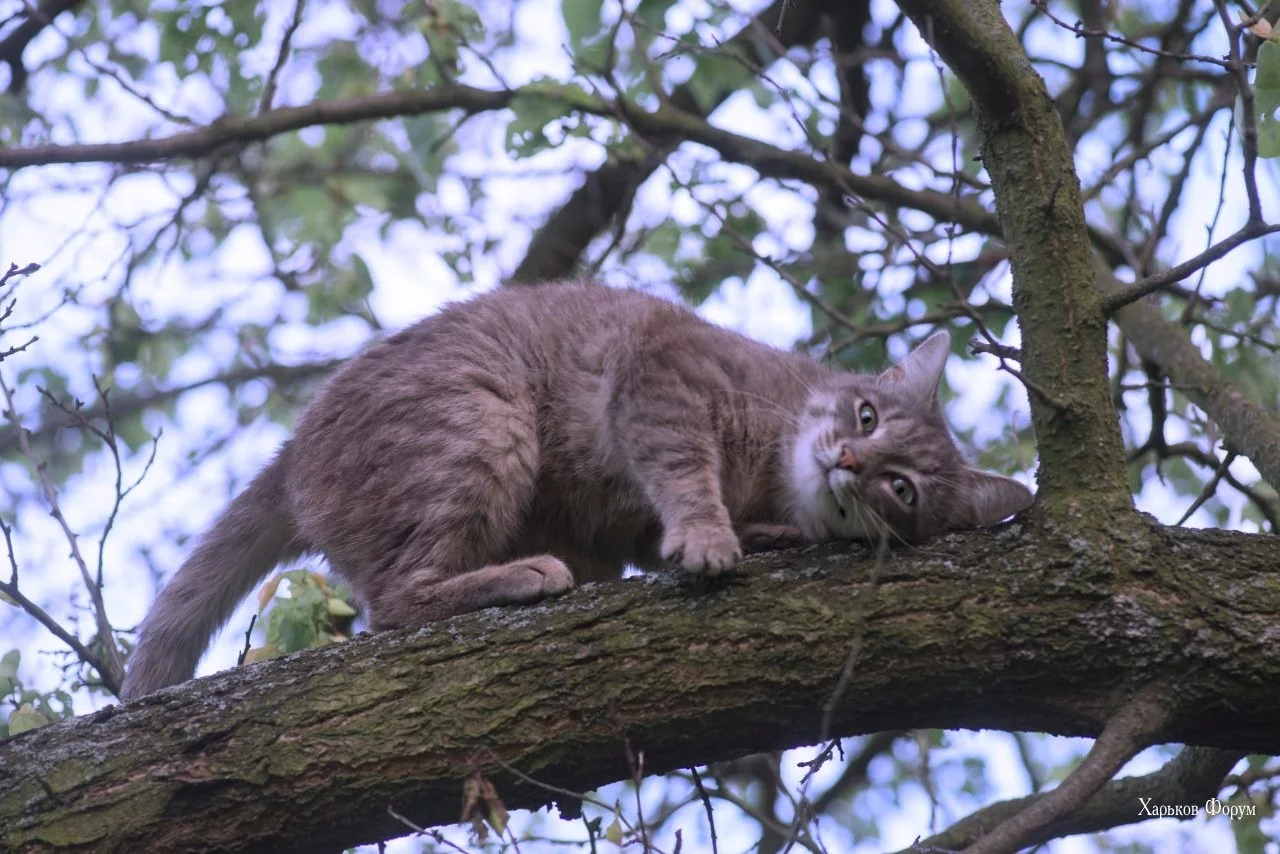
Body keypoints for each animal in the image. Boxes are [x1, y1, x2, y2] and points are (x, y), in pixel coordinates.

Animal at [120, 281, 1033, 699]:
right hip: (483, 426)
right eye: (867, 414)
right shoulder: (662, 378)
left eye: (902, 489)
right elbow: (683, 470)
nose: (845, 459)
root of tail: (296, 448)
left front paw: (759, 536)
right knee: (394, 602)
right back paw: (521, 575)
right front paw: (711, 534)